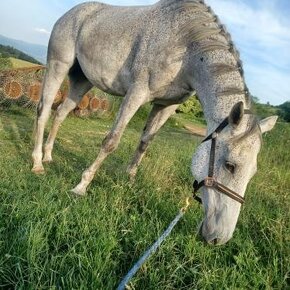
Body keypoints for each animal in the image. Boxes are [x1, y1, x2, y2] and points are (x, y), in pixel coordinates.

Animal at [31, 0, 276, 245]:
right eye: (230, 165)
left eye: (253, 172)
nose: (219, 238)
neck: (185, 46)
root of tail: (72, 12)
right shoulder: (137, 93)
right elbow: (111, 141)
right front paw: (81, 186)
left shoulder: (165, 105)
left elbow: (144, 142)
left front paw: (129, 179)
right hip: (58, 65)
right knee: (43, 112)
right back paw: (37, 163)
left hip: (82, 79)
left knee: (60, 113)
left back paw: (49, 155)